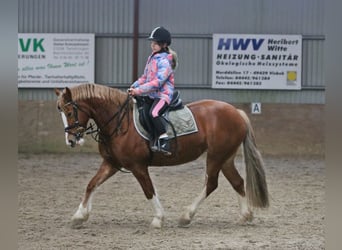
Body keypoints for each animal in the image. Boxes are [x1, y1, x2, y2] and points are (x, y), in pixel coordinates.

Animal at [54, 83, 268, 229]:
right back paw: (245, 216)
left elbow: (149, 190)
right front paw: (79, 216)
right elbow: (91, 184)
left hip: (216, 157)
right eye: (61, 112)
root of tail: (236, 112)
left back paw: (186, 216)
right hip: (225, 158)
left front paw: (158, 219)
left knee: (211, 184)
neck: (120, 123)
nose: (71, 141)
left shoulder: (138, 167)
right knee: (237, 182)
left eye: (70, 111)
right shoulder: (111, 163)